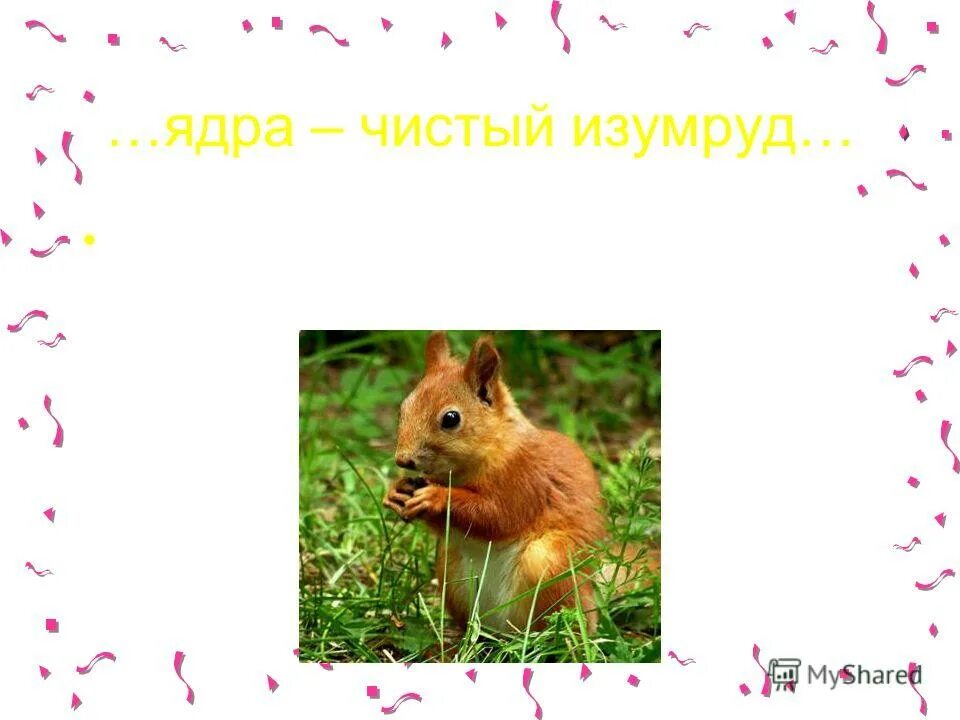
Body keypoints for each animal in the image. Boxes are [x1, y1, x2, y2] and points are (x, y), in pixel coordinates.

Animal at [382, 331, 647, 634]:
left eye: (451, 418)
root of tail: (503, 630)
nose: (403, 459)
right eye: (403, 409)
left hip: (549, 564)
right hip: (449, 565)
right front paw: (395, 491)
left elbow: (498, 516)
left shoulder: (526, 478)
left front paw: (437, 498)